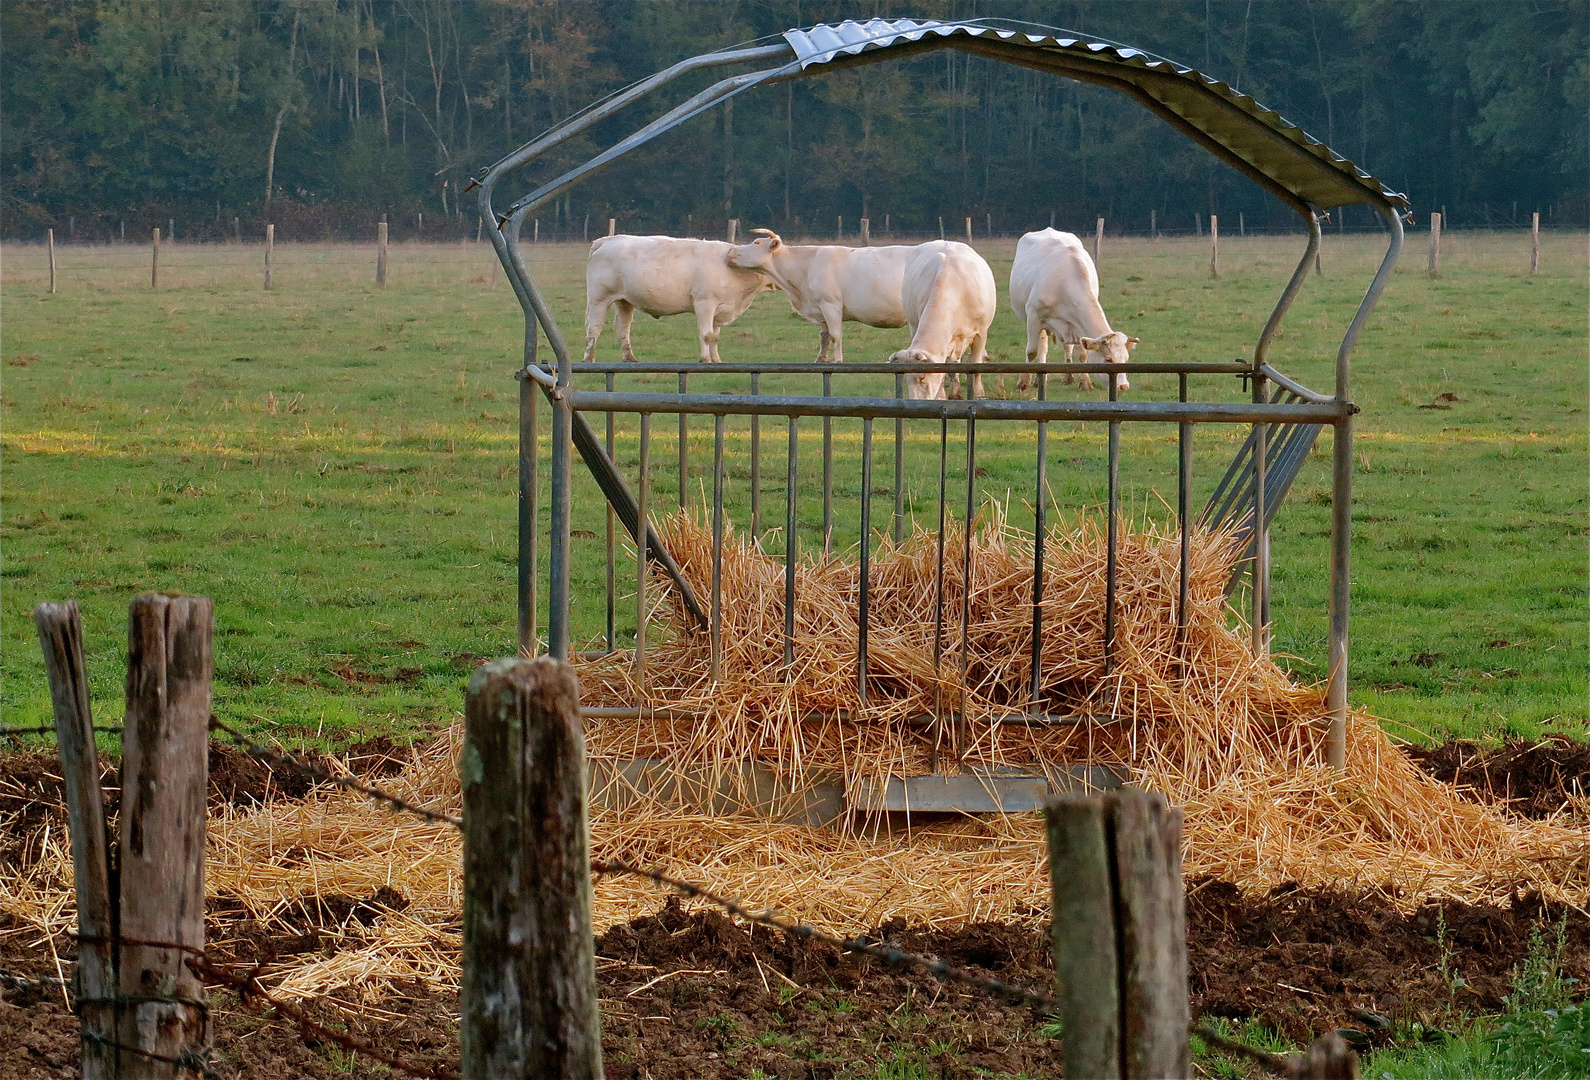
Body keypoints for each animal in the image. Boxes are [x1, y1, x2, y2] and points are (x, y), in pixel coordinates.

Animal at [588, 233, 779, 365]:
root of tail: (609, 239)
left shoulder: (720, 308)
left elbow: (715, 336)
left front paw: (717, 360)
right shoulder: (704, 303)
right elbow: (707, 335)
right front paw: (705, 359)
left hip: (625, 301)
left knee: (623, 327)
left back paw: (630, 358)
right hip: (598, 299)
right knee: (594, 327)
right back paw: (589, 359)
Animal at [721, 227, 909, 362]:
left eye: (756, 242)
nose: (731, 252)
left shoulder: (830, 305)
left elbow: (836, 335)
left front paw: (837, 360)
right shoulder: (820, 309)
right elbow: (824, 337)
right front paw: (821, 359)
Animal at [1011, 227, 1138, 392]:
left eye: (1126, 359)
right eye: (1108, 359)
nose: (1123, 386)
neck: (1064, 282)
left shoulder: (1077, 325)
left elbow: (1082, 355)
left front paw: (1085, 383)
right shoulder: (1034, 317)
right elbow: (1032, 351)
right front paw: (1023, 382)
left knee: (1067, 347)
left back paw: (1068, 376)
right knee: (1043, 346)